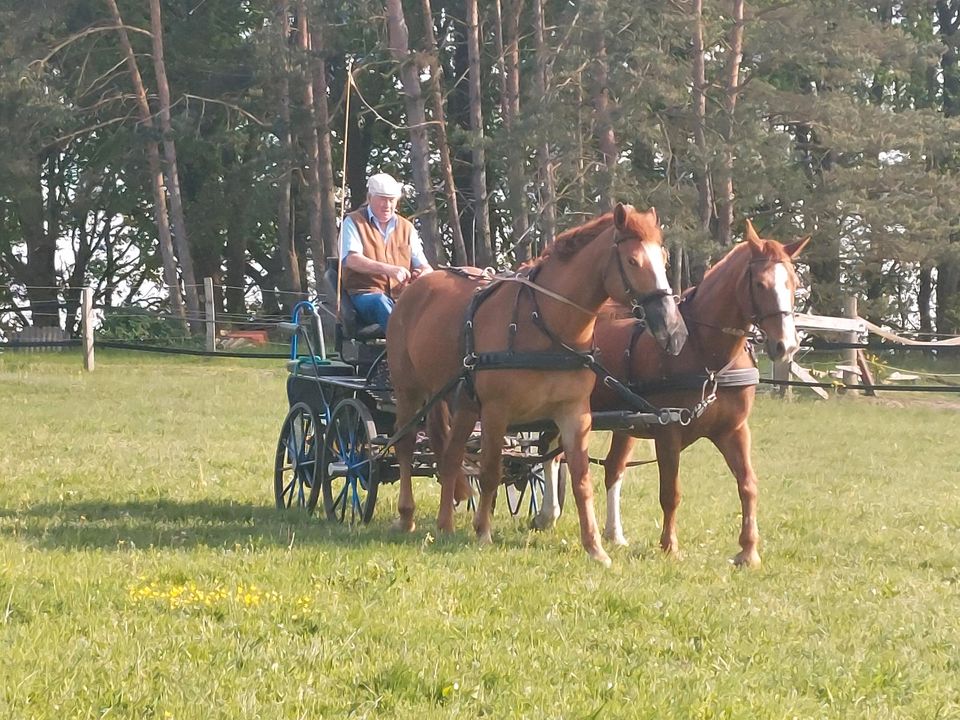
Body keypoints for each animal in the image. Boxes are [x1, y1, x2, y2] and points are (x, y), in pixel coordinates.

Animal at [386, 204, 688, 568]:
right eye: (632, 261)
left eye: (664, 258)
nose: (673, 331)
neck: (544, 323)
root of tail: (415, 287)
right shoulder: (496, 412)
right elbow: (490, 470)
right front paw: (483, 531)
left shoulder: (575, 414)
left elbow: (581, 479)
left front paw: (595, 547)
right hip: (409, 392)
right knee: (405, 446)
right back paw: (407, 515)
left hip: (461, 402)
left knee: (450, 455)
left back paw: (445, 523)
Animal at [532, 219, 808, 568]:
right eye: (760, 284)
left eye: (794, 283)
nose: (786, 345)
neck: (704, 352)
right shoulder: (668, 432)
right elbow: (670, 492)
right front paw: (669, 545)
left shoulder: (733, 430)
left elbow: (748, 485)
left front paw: (748, 551)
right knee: (551, 453)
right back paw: (548, 514)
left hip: (622, 424)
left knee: (611, 469)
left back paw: (613, 533)